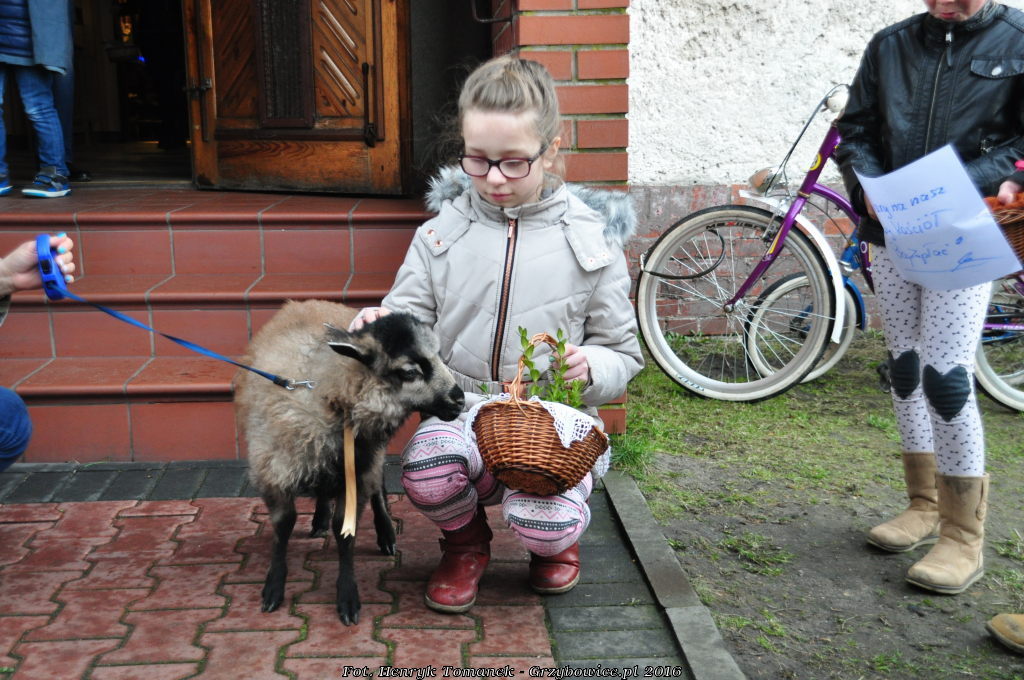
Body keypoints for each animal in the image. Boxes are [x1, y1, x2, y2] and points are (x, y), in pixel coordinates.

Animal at [234, 299, 465, 625]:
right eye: (409, 372)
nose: (459, 400)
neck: (331, 396)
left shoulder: (358, 469)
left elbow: (345, 533)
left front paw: (347, 598)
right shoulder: (274, 470)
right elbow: (284, 526)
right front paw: (273, 587)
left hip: (367, 457)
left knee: (378, 489)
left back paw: (386, 534)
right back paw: (318, 519)